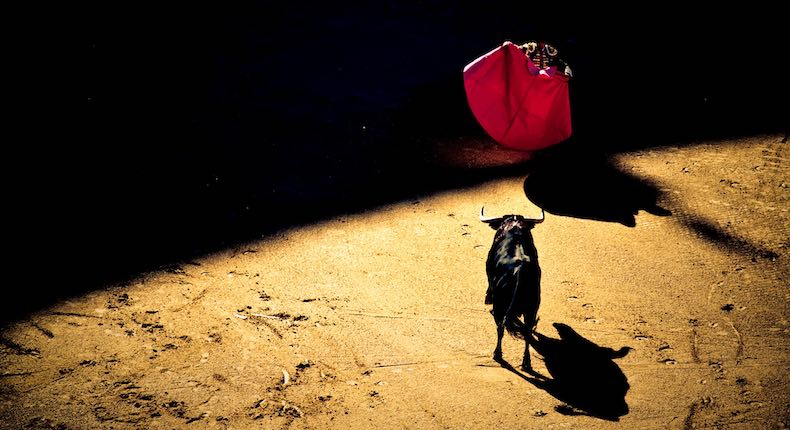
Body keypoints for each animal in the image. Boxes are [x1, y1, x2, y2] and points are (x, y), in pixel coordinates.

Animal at [482, 207, 544, 370]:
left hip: (501, 305)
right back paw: (526, 362)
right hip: (532, 307)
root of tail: (520, 270)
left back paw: (497, 354)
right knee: (527, 331)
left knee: (500, 327)